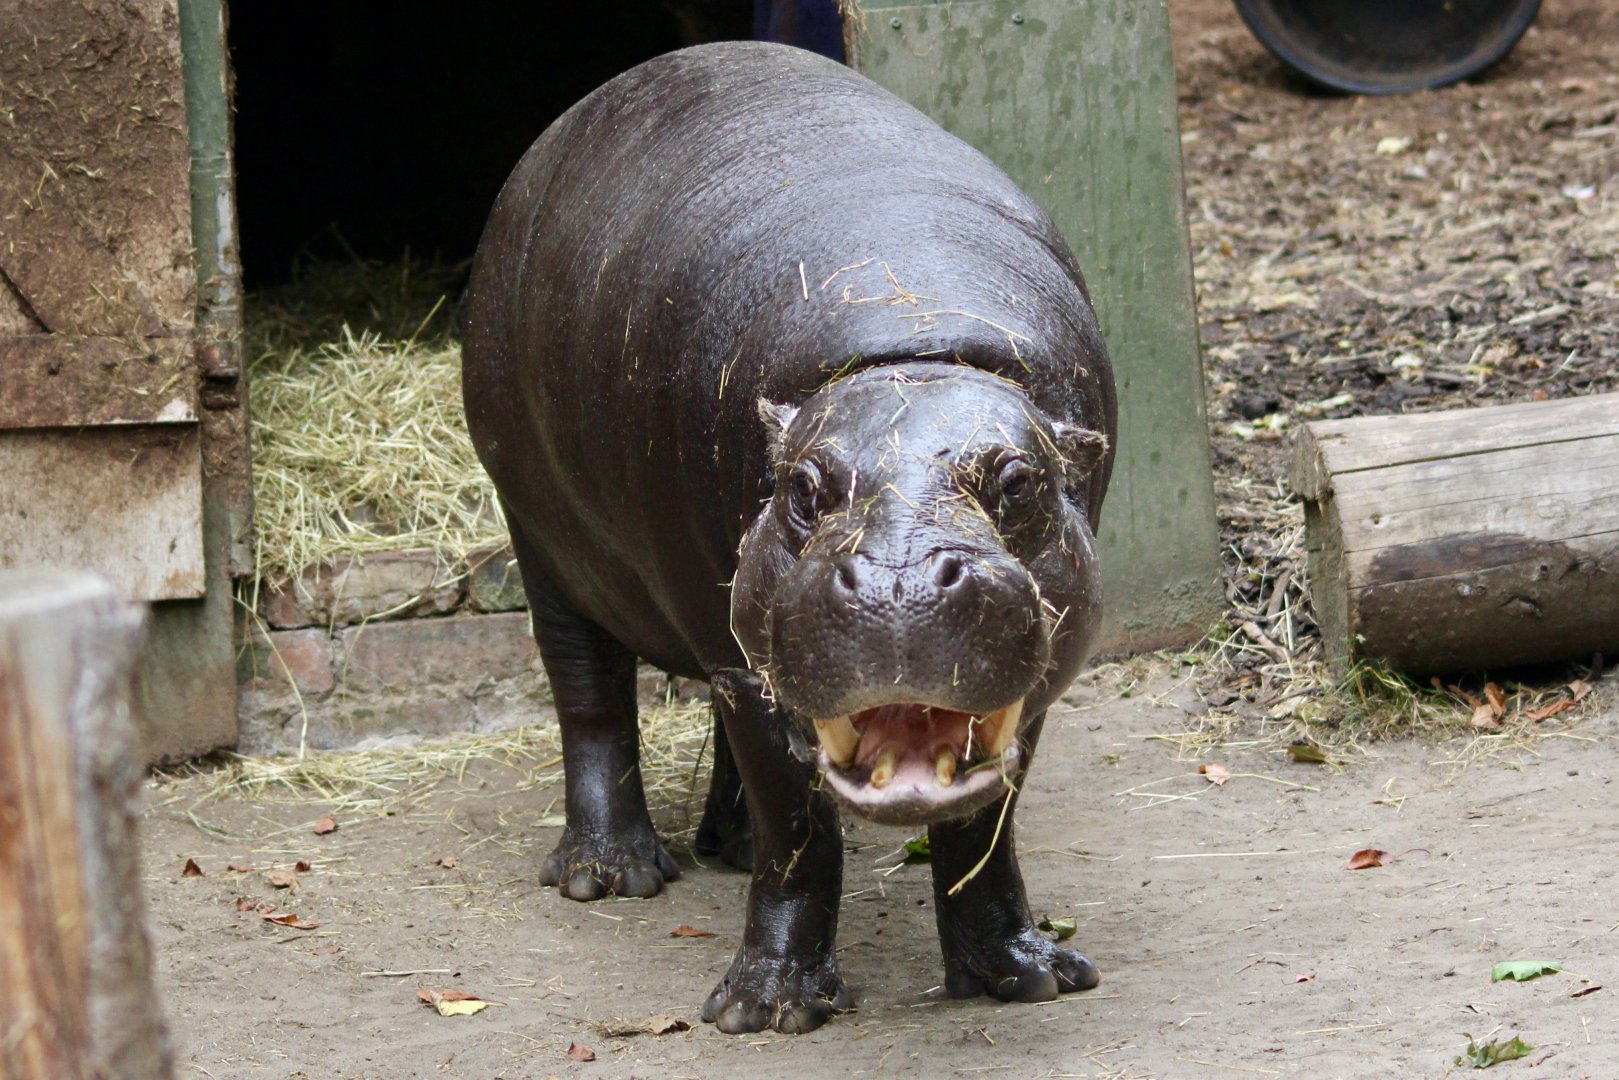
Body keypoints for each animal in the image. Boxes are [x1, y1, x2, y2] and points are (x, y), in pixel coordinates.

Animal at [462, 41, 1117, 1034]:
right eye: (806, 488)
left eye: (1019, 482)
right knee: (590, 697)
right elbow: (799, 837)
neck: (913, 341)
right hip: (543, 541)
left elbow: (981, 830)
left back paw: (723, 847)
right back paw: (611, 875)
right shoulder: (740, 671)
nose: (897, 587)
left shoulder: (1030, 680)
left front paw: (1029, 974)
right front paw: (761, 1011)